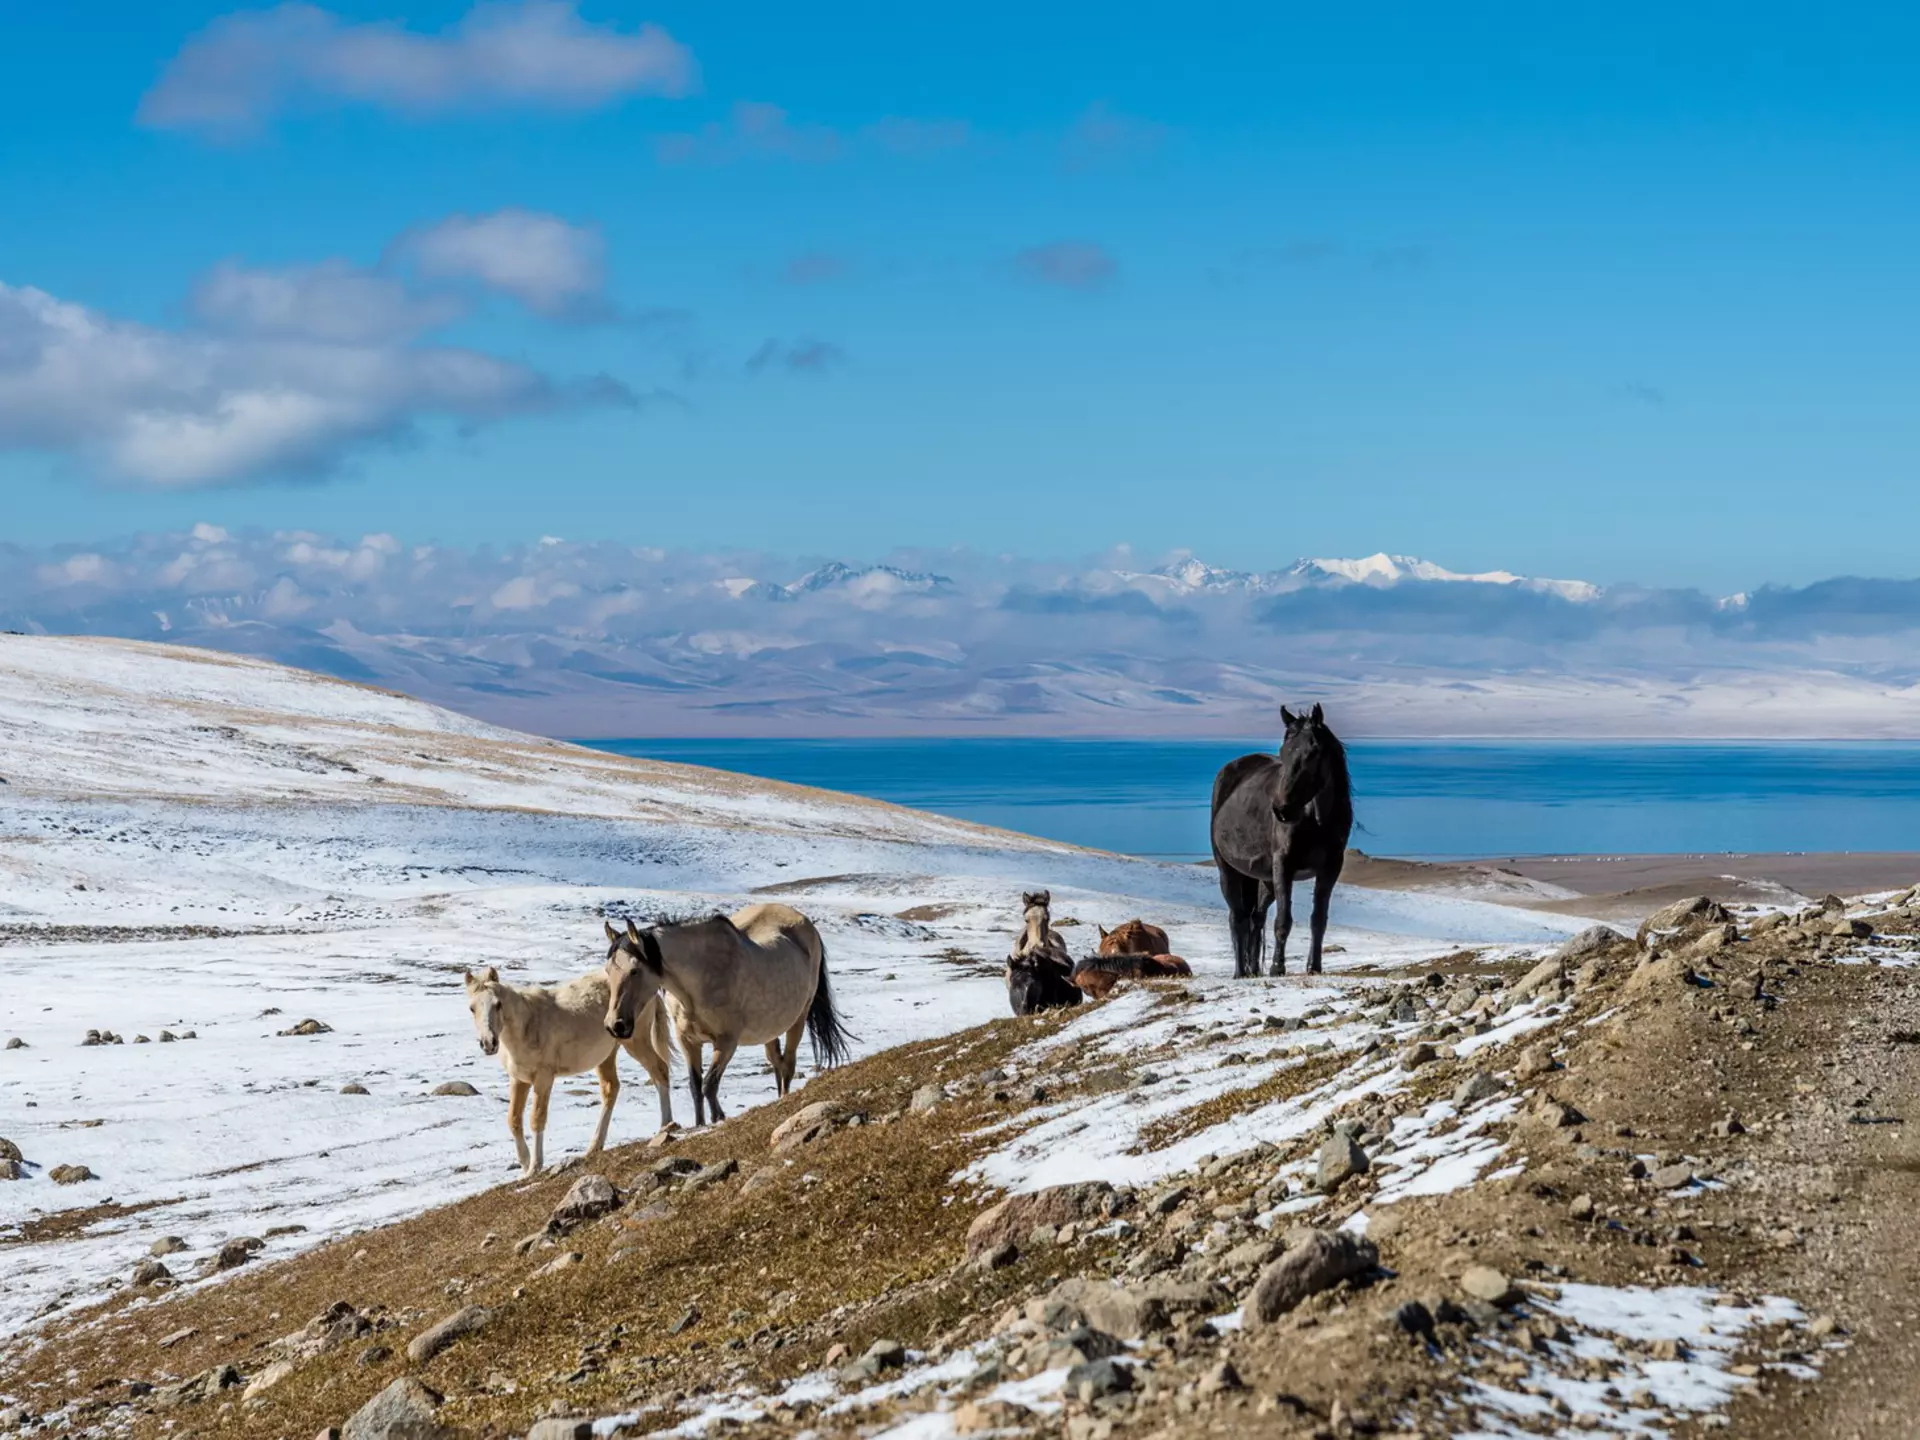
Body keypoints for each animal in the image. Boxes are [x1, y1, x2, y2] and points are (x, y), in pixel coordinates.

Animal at [463, 965, 674, 1177]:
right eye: (472, 1008)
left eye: (498, 1004)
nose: (489, 1043)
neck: (527, 1025)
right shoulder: (519, 1079)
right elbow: (513, 1119)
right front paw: (525, 1164)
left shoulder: (543, 1078)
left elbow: (537, 1119)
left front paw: (535, 1167)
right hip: (606, 1056)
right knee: (612, 1089)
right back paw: (594, 1147)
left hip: (636, 1041)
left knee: (660, 1071)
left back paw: (665, 1127)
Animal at [602, 904, 852, 1127]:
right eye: (607, 970)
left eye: (635, 970)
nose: (615, 1025)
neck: (700, 979)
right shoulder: (688, 1041)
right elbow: (696, 1087)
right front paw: (701, 1124)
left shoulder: (727, 1042)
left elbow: (710, 1085)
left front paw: (717, 1119)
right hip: (769, 1030)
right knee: (778, 1063)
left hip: (798, 1018)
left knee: (788, 1065)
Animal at [1209, 703, 1354, 976]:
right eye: (1283, 752)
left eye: (1314, 751)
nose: (1282, 810)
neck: (1316, 820)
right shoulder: (1284, 865)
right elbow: (1283, 920)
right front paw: (1278, 967)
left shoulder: (1331, 868)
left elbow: (1318, 919)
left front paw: (1314, 966)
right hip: (1229, 871)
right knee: (1238, 918)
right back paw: (1240, 972)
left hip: (1264, 880)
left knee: (1256, 917)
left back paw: (1253, 970)